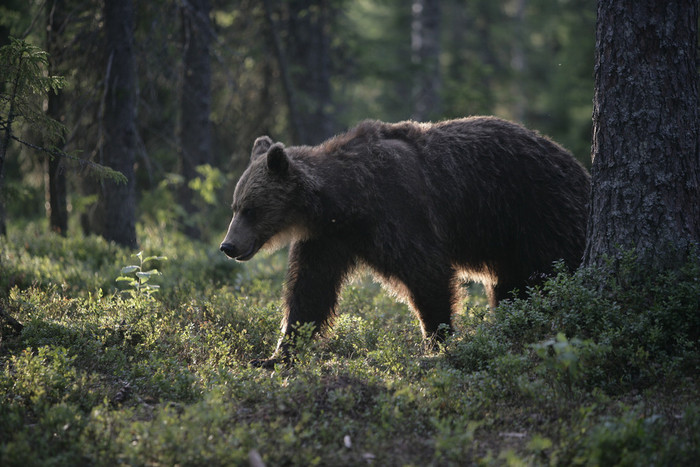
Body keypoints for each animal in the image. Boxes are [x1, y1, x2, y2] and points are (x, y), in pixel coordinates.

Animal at [220, 116, 592, 366]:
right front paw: (276, 356)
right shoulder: (327, 239)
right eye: (235, 206)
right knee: (512, 289)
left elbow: (427, 275)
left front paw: (436, 343)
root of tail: (579, 167)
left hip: (537, 215)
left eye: (251, 209)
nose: (228, 246)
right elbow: (309, 293)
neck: (345, 202)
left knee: (549, 273)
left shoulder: (398, 212)